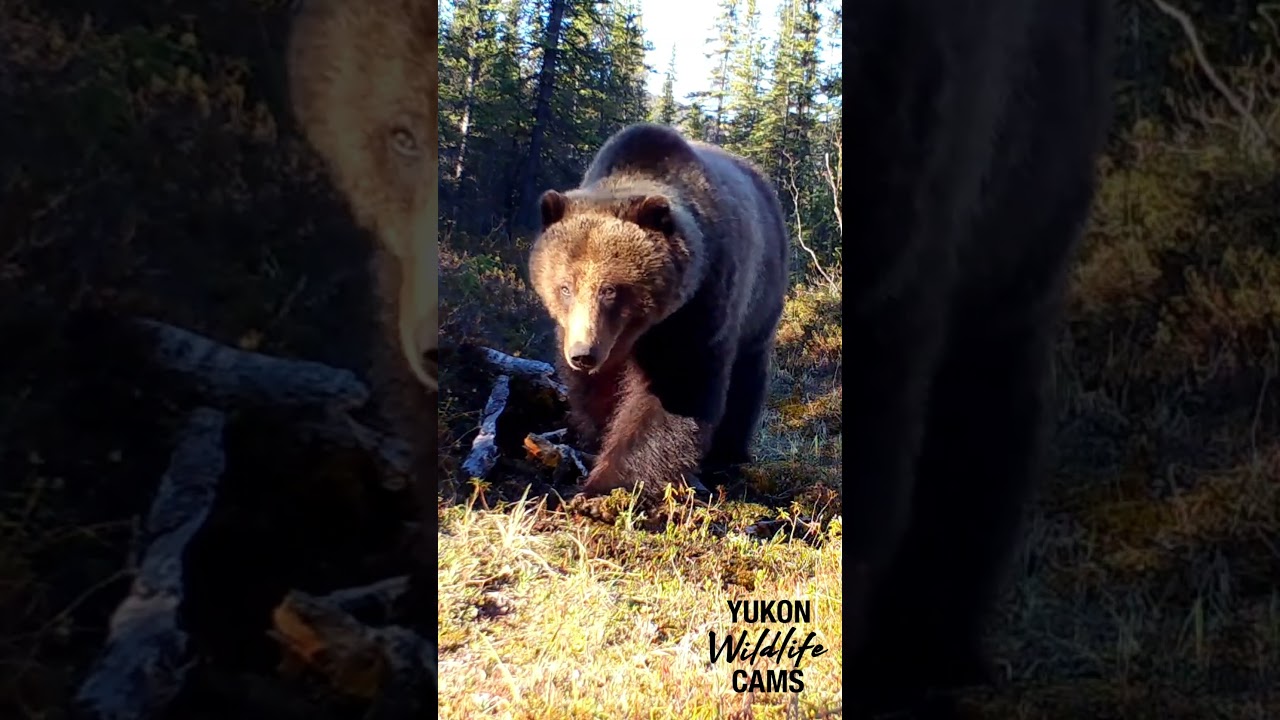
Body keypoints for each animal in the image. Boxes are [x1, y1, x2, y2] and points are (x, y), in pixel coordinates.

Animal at [527, 123, 790, 502]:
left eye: (610, 289)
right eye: (564, 287)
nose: (583, 354)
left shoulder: (698, 306)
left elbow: (676, 386)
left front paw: (608, 485)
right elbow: (599, 392)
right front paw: (597, 440)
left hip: (762, 294)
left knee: (747, 374)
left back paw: (728, 456)